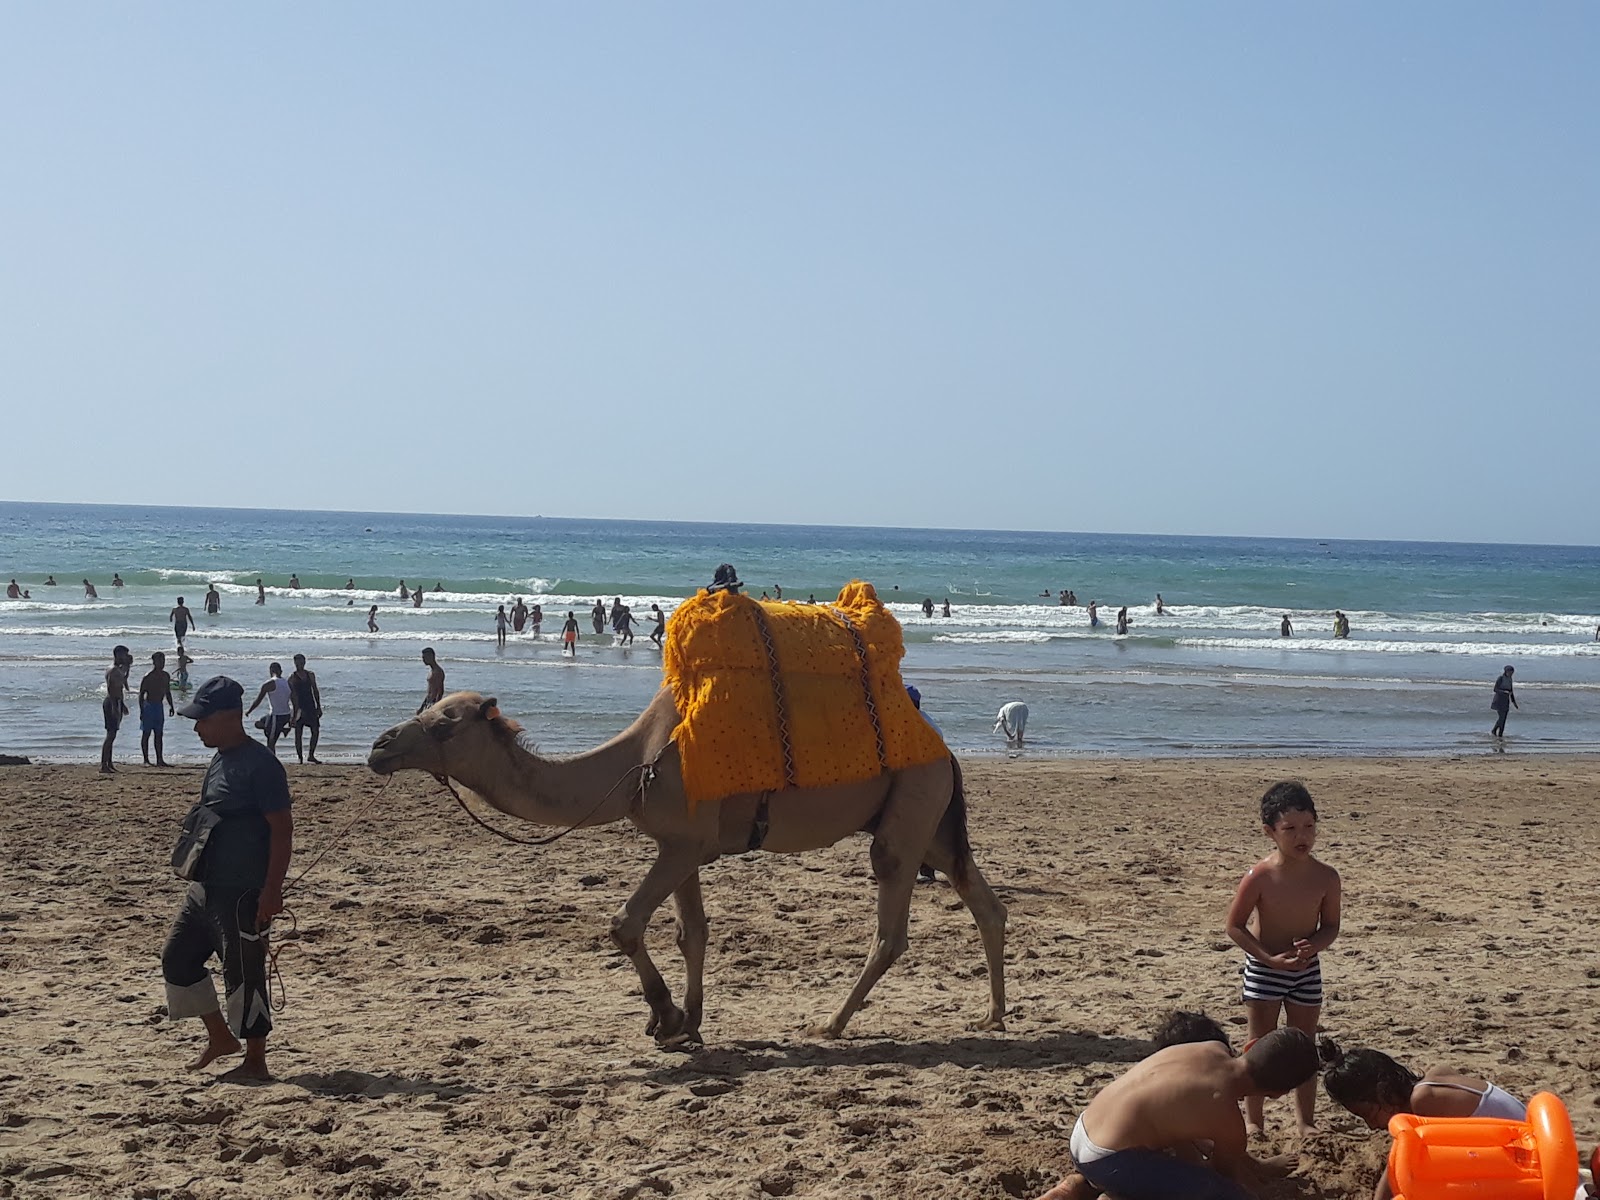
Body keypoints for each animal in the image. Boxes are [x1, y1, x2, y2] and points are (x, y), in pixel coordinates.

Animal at [368, 691, 1004, 1049]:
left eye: (444, 724)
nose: (379, 746)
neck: (631, 766)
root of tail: (944, 749)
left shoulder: (682, 844)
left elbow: (624, 924)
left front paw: (667, 1017)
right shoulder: (686, 846)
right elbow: (690, 932)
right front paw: (691, 1022)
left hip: (908, 812)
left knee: (891, 927)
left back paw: (828, 1024)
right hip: (931, 822)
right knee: (983, 900)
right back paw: (992, 1016)